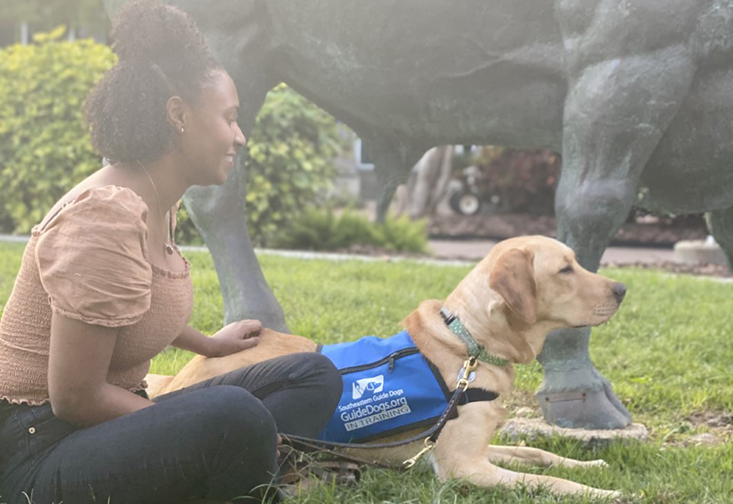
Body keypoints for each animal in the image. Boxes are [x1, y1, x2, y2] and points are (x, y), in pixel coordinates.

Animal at [147, 236, 624, 500]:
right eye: (565, 269)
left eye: (575, 262)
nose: (622, 289)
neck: (471, 344)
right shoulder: (464, 468)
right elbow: (548, 483)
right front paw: (604, 491)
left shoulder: (476, 451)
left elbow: (540, 455)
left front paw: (594, 466)